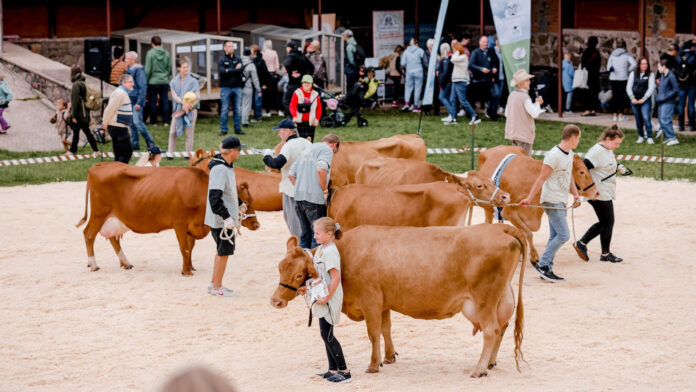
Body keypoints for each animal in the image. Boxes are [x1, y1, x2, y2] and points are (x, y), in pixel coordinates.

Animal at [77, 162, 260, 276]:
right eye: (244, 202)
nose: (256, 224)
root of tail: (100, 165)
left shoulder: (191, 226)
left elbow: (190, 248)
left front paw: (190, 267)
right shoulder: (179, 224)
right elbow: (184, 248)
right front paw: (186, 271)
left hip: (116, 219)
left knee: (114, 239)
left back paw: (126, 262)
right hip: (99, 213)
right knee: (89, 234)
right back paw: (93, 264)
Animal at [270, 225, 524, 378]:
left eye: (298, 275)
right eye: (280, 267)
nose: (275, 301)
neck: (345, 254)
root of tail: (498, 227)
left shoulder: (371, 300)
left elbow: (373, 334)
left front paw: (374, 365)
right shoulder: (384, 302)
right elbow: (386, 329)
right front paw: (389, 357)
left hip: (483, 301)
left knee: (491, 331)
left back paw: (479, 369)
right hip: (501, 298)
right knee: (502, 327)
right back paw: (490, 363)